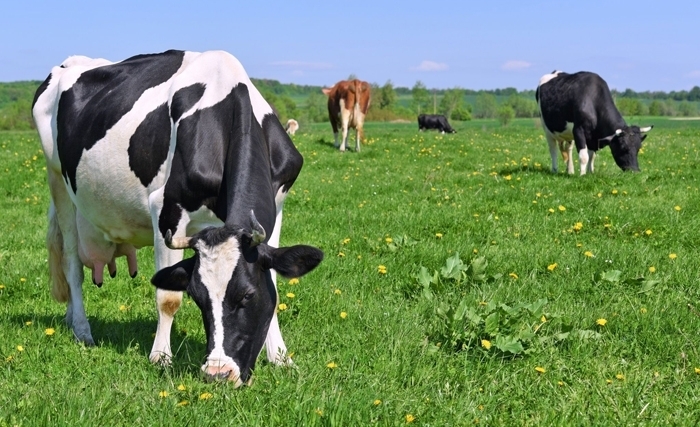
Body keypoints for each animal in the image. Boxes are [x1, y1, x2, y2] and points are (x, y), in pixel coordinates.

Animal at [34, 50, 324, 388]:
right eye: (198, 298)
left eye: (247, 296)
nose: (218, 373)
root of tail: (69, 62)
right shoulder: (166, 209)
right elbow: (167, 298)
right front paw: (160, 356)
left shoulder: (277, 207)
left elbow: (275, 283)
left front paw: (280, 357)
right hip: (57, 180)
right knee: (70, 263)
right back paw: (82, 330)